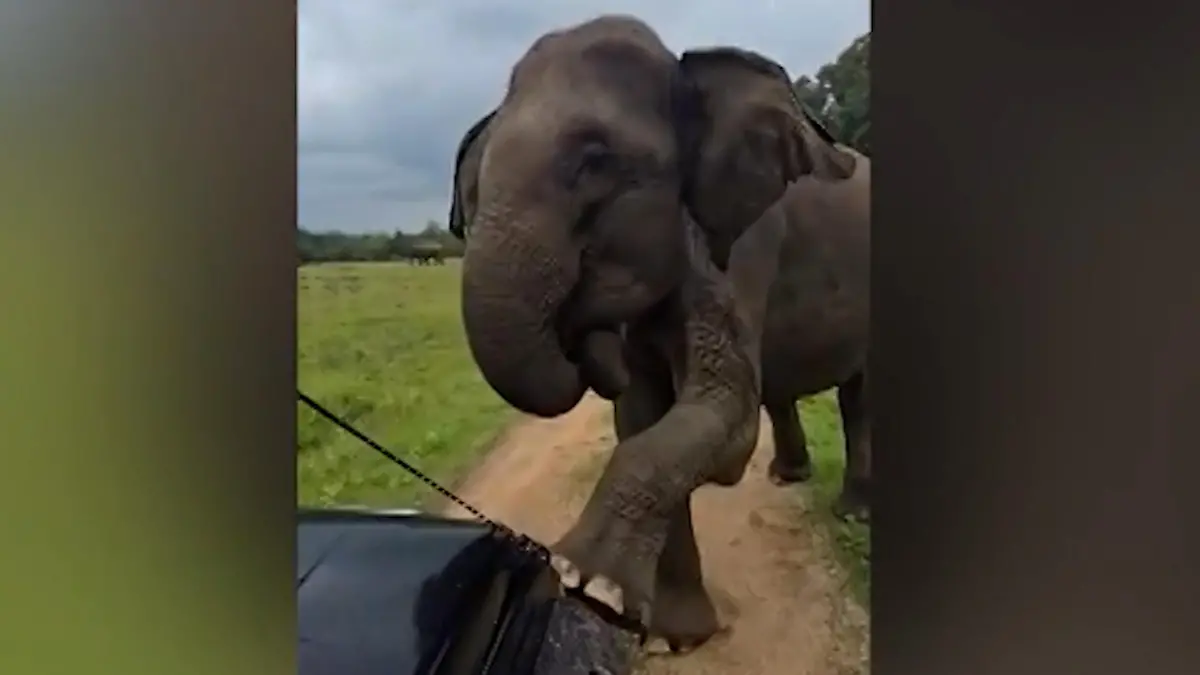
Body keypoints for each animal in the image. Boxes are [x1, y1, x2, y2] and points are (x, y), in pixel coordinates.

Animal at [446, 15, 868, 650]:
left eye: (596, 161)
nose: (587, 333)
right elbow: (642, 415)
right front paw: (674, 634)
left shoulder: (740, 245)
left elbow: (726, 419)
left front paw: (584, 582)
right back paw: (791, 479)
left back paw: (851, 514)